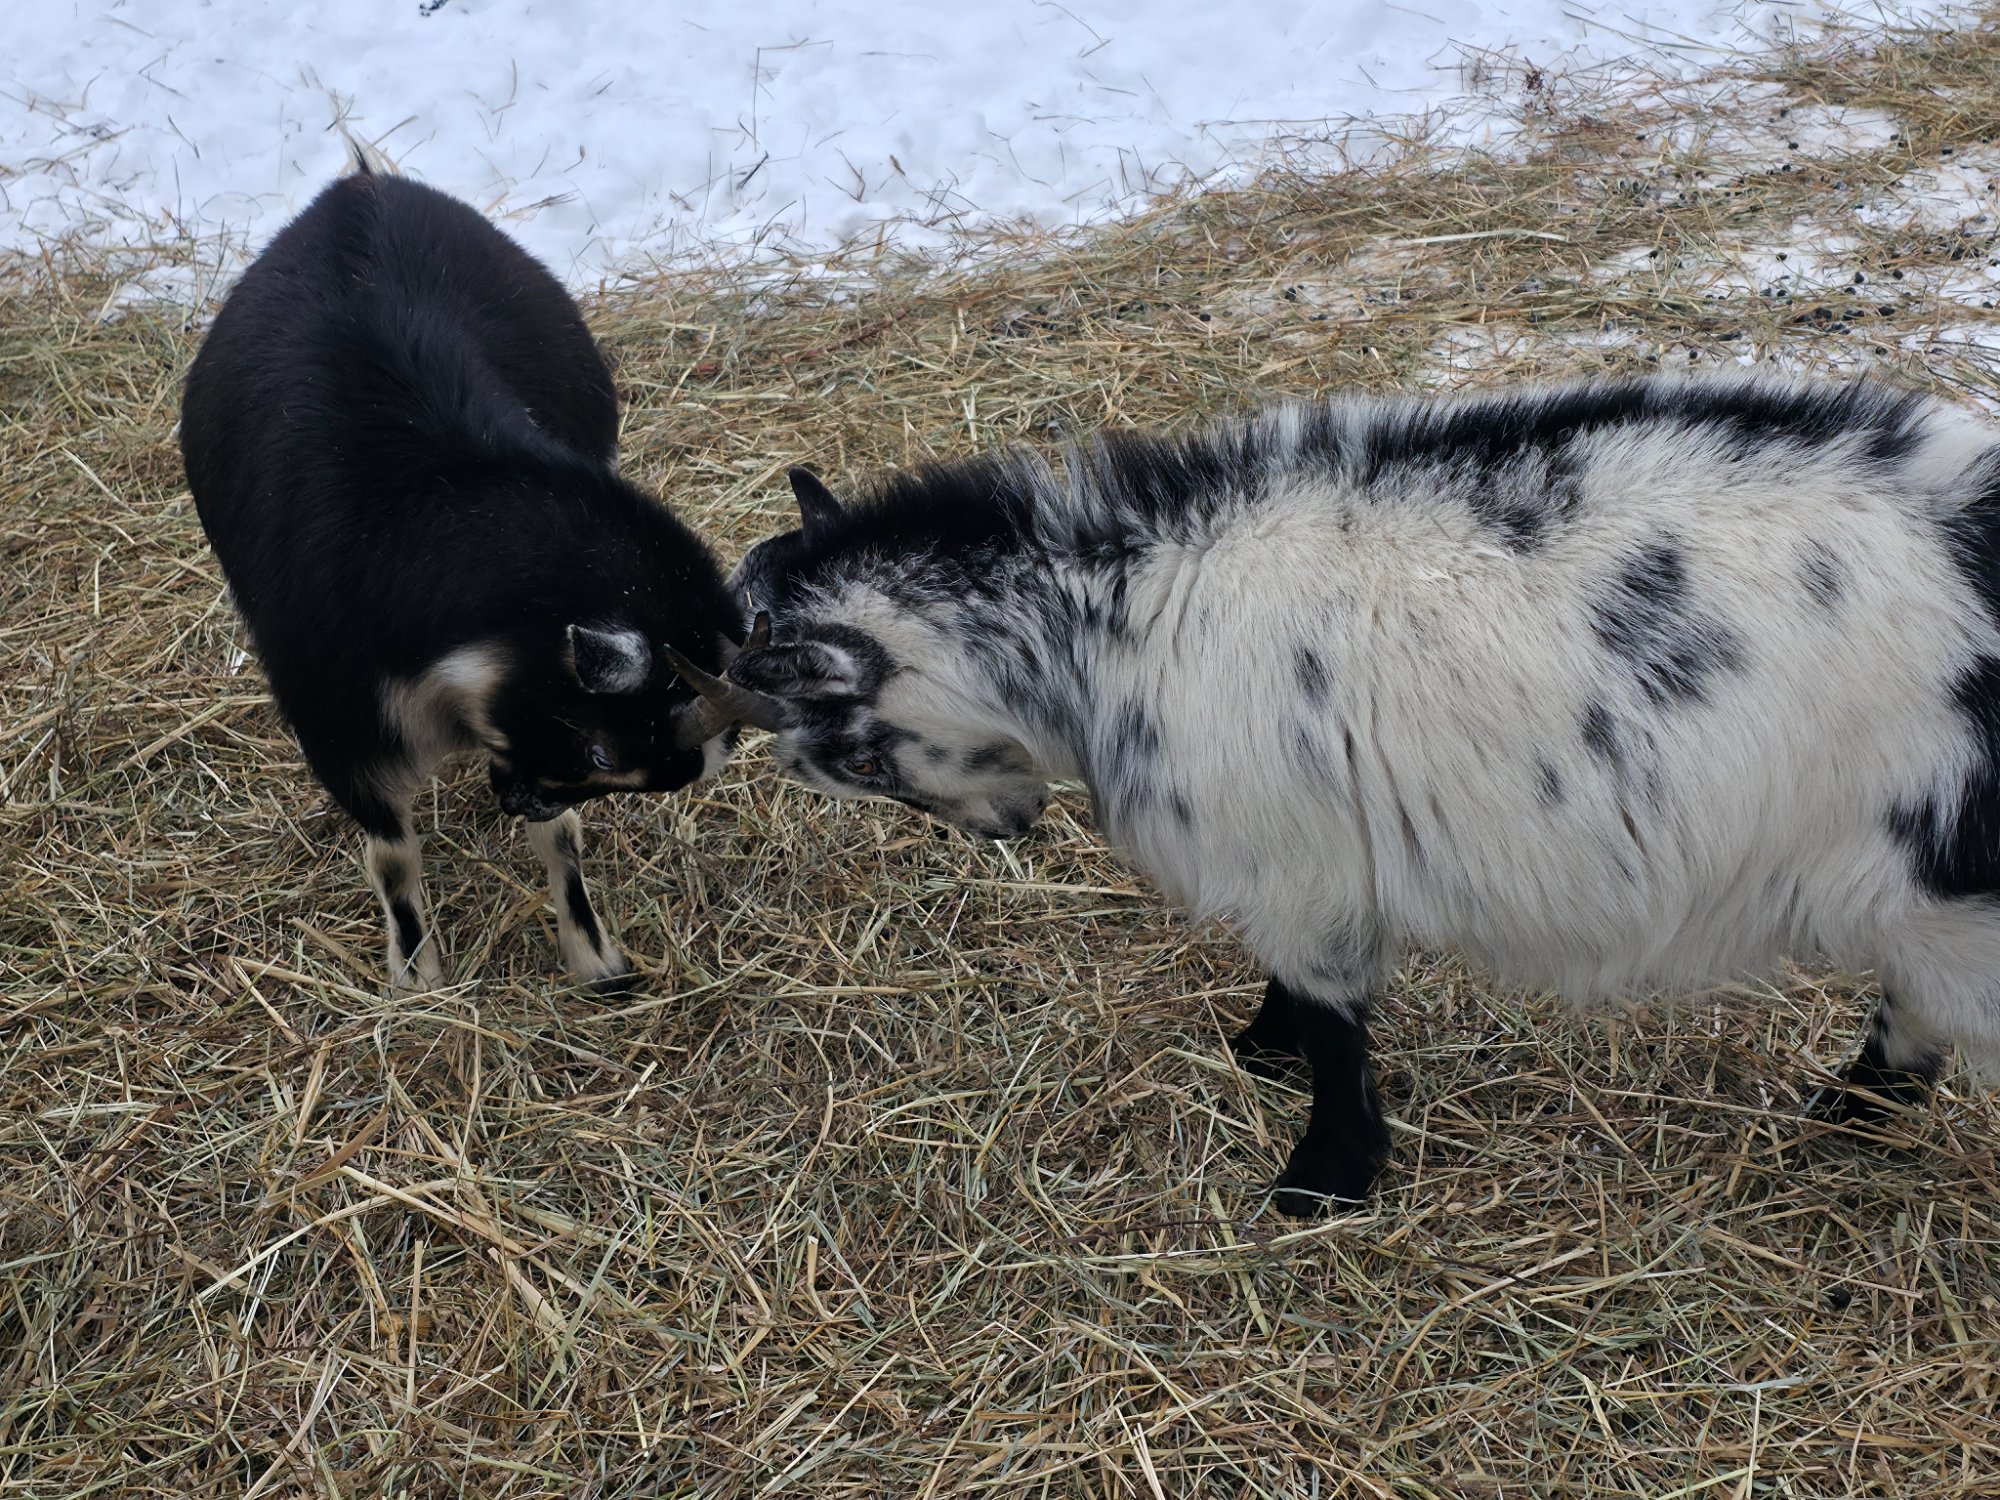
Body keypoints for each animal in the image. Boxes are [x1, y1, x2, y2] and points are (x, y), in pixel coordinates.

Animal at [181, 164, 744, 991]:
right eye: (604, 754)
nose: (511, 802)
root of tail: (358, 188)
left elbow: (563, 839)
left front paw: (595, 959)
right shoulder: (342, 728)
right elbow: (392, 856)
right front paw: (416, 974)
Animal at [679, 376, 2000, 1215]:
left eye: (852, 757)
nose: (1012, 827)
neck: (1115, 621)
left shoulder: (1301, 865)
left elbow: (1331, 1021)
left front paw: (1320, 1179)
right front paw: (1255, 1050)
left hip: (1951, 893)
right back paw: (1841, 1116)